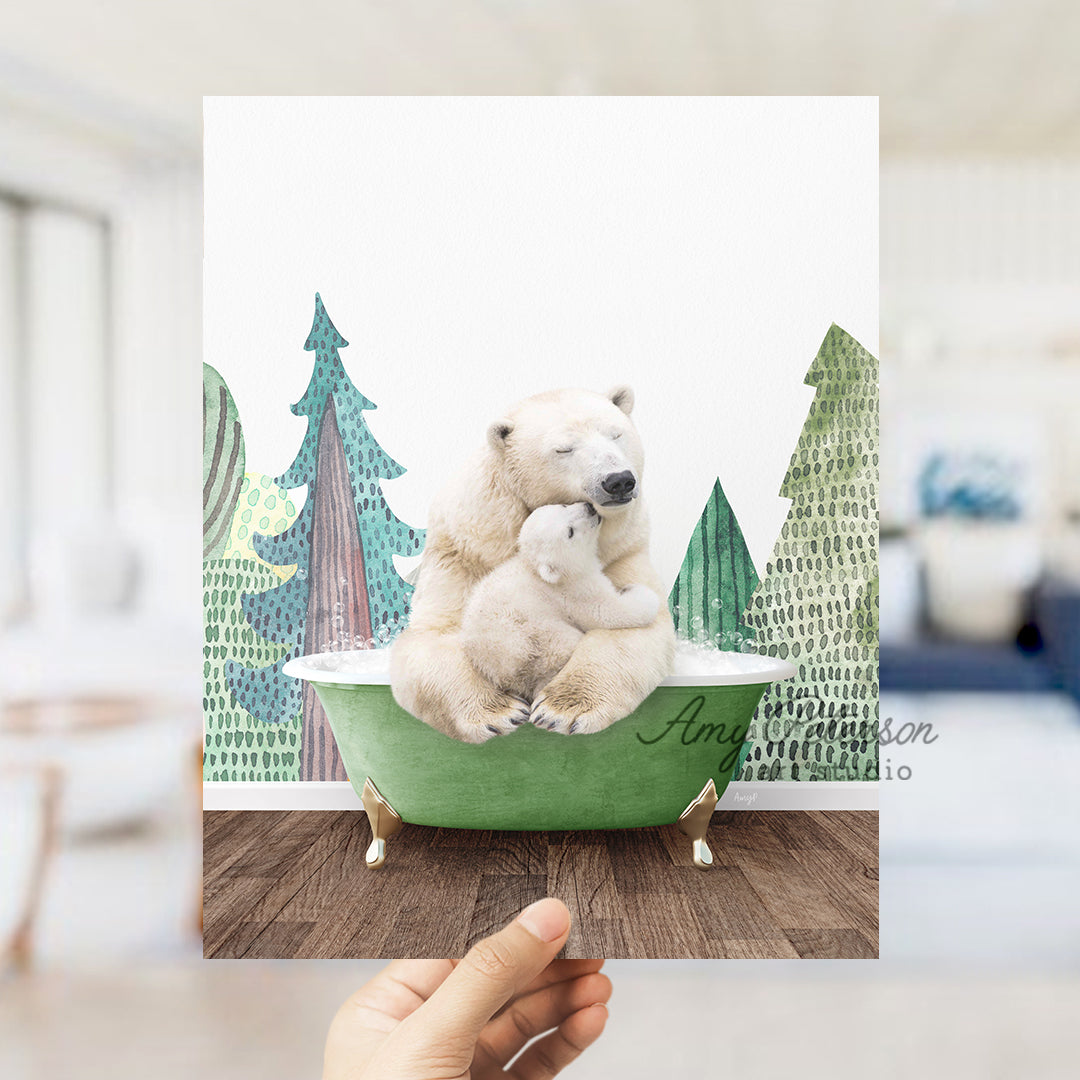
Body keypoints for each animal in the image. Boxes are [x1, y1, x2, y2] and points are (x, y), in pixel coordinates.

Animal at [460, 501, 660, 712]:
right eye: (570, 532)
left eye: (563, 505)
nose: (589, 507)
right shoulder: (574, 591)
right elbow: (608, 612)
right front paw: (636, 591)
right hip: (539, 638)